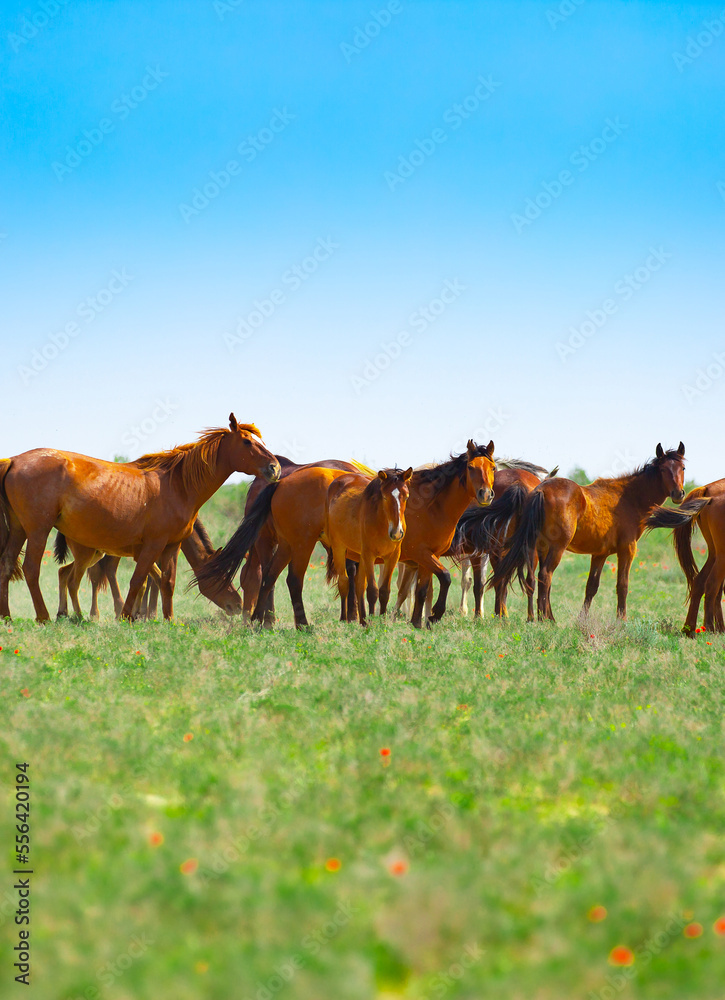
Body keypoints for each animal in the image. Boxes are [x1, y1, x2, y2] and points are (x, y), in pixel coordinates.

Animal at [55, 520, 243, 620]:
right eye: (221, 577)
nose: (238, 604)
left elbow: (151, 581)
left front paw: (145, 613)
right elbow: (152, 581)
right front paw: (145, 614)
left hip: (96, 554)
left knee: (64, 571)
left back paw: (62, 613)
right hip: (96, 553)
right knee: (99, 573)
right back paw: (99, 613)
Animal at [324, 468, 412, 624]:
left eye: (406, 496)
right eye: (384, 497)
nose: (397, 533)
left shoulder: (392, 557)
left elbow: (384, 591)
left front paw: (381, 620)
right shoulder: (369, 555)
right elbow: (372, 590)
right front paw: (372, 621)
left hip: (360, 555)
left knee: (359, 585)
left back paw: (363, 620)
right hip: (339, 548)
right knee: (344, 582)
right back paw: (344, 618)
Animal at [492, 444, 684, 620]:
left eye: (682, 468)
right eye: (663, 469)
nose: (679, 493)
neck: (629, 498)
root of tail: (541, 490)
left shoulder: (599, 554)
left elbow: (591, 587)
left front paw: (582, 620)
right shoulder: (627, 550)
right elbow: (622, 585)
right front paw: (621, 621)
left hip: (537, 548)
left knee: (533, 580)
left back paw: (539, 618)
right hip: (556, 549)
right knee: (545, 576)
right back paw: (544, 620)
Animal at [644, 478, 724, 632]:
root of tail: (707, 490)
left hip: (714, 552)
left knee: (701, 582)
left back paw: (690, 630)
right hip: (721, 553)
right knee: (712, 585)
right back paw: (710, 629)